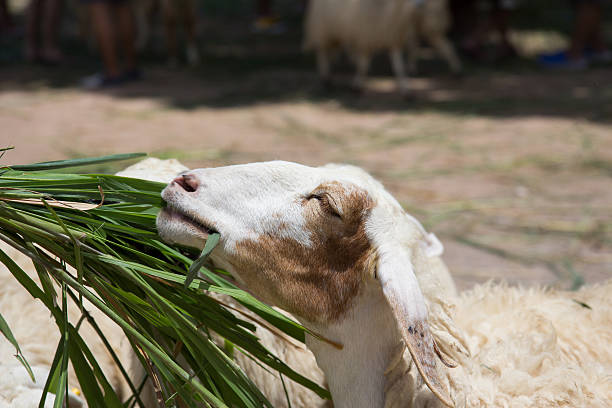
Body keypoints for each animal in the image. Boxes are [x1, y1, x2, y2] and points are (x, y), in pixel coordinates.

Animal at [304, 0, 462, 95]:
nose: (420, 4)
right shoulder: (366, 38)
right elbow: (363, 65)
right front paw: (357, 86)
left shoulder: (393, 40)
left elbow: (399, 68)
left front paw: (406, 91)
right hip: (324, 30)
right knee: (322, 53)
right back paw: (326, 78)